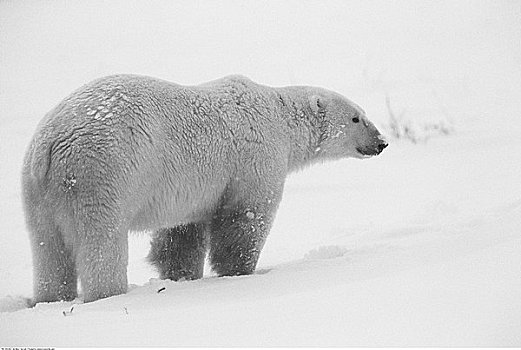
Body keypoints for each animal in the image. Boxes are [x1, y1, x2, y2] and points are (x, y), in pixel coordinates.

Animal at [21, 74, 386, 304]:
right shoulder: (254, 160)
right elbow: (245, 220)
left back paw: (50, 298)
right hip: (102, 174)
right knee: (100, 242)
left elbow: (181, 235)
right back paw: (108, 294)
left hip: (38, 193)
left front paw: (181, 276)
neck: (278, 116)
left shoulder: (192, 189)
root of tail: (52, 143)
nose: (382, 141)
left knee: (48, 248)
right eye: (357, 118)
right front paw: (240, 272)